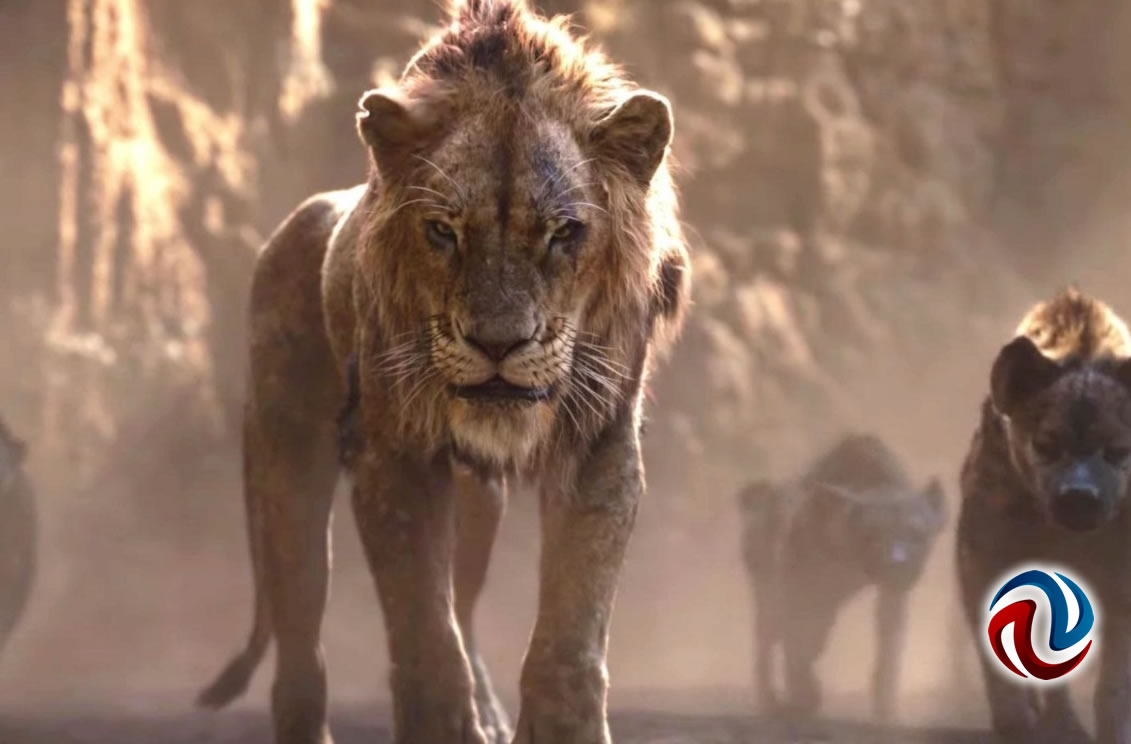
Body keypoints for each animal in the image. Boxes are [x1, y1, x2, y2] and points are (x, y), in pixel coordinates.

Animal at [195, 2, 690, 743]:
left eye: (563, 233)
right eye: (443, 231)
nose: (498, 343)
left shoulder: (599, 445)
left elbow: (569, 633)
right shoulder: (393, 455)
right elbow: (423, 630)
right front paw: (444, 723)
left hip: (477, 501)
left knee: (462, 603)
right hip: (289, 465)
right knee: (301, 652)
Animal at [737, 433, 945, 725]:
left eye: (918, 534)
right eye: (871, 535)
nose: (898, 565)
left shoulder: (889, 596)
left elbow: (888, 646)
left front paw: (886, 710)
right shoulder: (796, 582)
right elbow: (797, 640)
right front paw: (801, 700)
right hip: (765, 583)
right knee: (767, 640)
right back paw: (769, 701)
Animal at [957, 288, 1131, 744]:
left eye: (1118, 450)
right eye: (1046, 444)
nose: (1080, 498)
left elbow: (1114, 681)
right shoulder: (986, 549)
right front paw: (1021, 725)